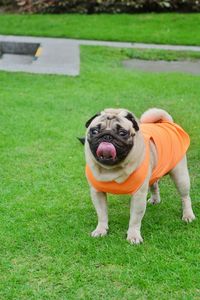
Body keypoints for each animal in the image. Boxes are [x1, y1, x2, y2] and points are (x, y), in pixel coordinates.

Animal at [83, 108, 195, 244]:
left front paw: (133, 235)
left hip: (180, 176)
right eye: (94, 131)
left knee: (185, 197)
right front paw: (101, 230)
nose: (107, 136)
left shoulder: (138, 195)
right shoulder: (97, 193)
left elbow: (135, 219)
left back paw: (188, 215)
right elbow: (102, 214)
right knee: (154, 184)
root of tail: (166, 122)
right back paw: (155, 200)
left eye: (122, 133)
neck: (111, 169)